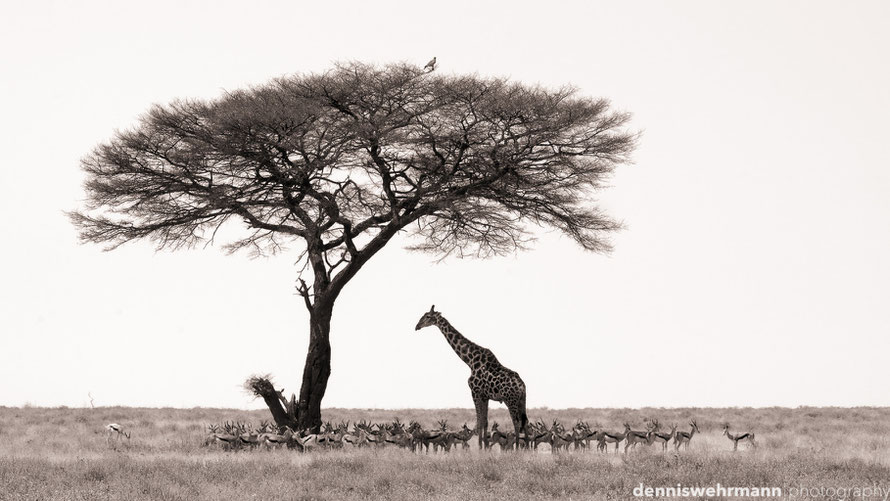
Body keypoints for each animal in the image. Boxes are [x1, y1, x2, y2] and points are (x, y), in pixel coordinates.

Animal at [414, 304, 528, 450]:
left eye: (428, 316)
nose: (417, 326)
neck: (470, 360)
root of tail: (522, 386)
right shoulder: (485, 396)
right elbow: (485, 421)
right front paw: (485, 447)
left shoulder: (475, 392)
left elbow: (479, 421)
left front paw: (480, 448)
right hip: (521, 400)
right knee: (525, 422)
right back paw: (527, 449)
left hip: (510, 400)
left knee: (517, 422)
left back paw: (518, 449)